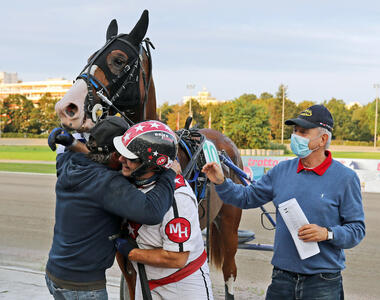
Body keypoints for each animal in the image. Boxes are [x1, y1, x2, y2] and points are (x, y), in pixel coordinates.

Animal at [55, 9, 242, 300]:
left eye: (118, 60)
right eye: (89, 59)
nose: (67, 107)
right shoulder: (127, 256)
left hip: (229, 228)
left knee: (230, 273)